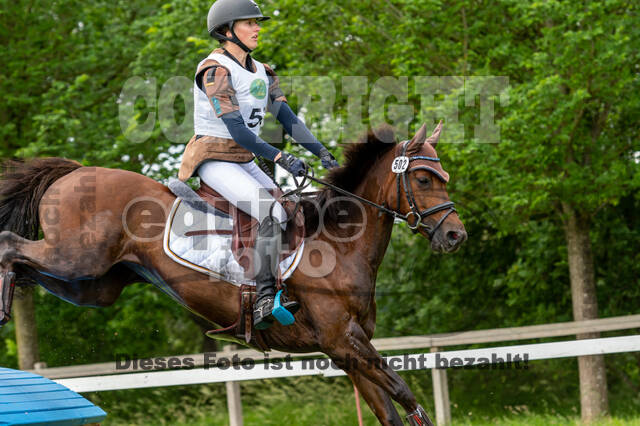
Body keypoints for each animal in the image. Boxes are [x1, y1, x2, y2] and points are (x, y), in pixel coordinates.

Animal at [0, 122, 466, 426]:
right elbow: (404, 393)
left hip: (94, 285)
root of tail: (76, 171)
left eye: (443, 176)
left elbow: (388, 409)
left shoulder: (346, 351)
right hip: (77, 257)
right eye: (423, 178)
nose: (456, 235)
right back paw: (2, 308)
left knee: (26, 263)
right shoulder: (343, 339)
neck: (339, 242)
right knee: (9, 243)